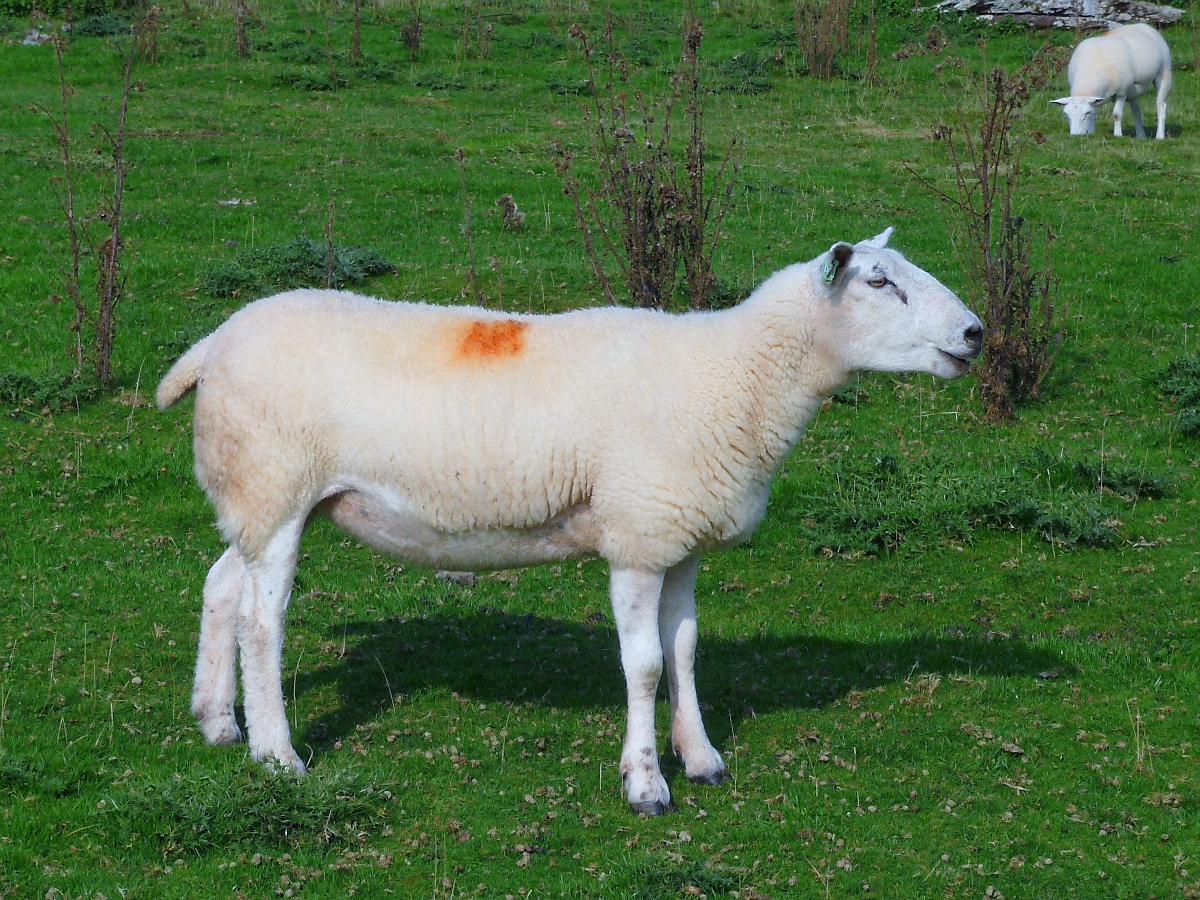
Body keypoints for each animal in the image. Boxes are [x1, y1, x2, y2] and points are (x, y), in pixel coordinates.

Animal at [162, 226, 984, 816]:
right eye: (878, 282)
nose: (976, 333)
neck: (737, 376)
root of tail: (214, 343)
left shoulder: (680, 536)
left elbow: (685, 652)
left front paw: (702, 758)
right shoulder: (637, 537)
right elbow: (645, 664)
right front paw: (647, 785)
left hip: (258, 496)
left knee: (222, 585)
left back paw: (217, 719)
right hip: (275, 484)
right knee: (263, 621)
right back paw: (277, 755)